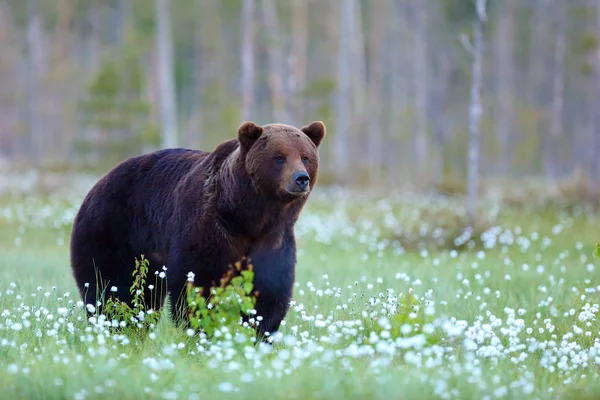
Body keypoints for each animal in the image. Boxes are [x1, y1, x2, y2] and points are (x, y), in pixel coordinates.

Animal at [69, 120, 328, 340]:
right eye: (279, 157)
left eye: (305, 156)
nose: (301, 178)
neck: (248, 216)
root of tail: (98, 182)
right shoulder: (208, 228)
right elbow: (197, 282)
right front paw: (200, 330)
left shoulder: (274, 238)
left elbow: (270, 288)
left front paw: (260, 333)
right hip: (112, 229)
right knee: (110, 285)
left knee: (145, 293)